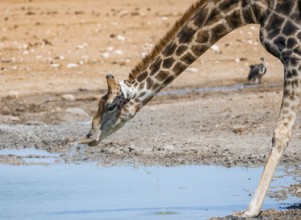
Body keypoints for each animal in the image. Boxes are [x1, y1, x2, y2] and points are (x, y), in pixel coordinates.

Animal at [80, 0, 300, 217]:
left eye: (110, 106)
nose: (88, 137)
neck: (253, 9)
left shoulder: (294, 55)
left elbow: (281, 133)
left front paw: (250, 210)